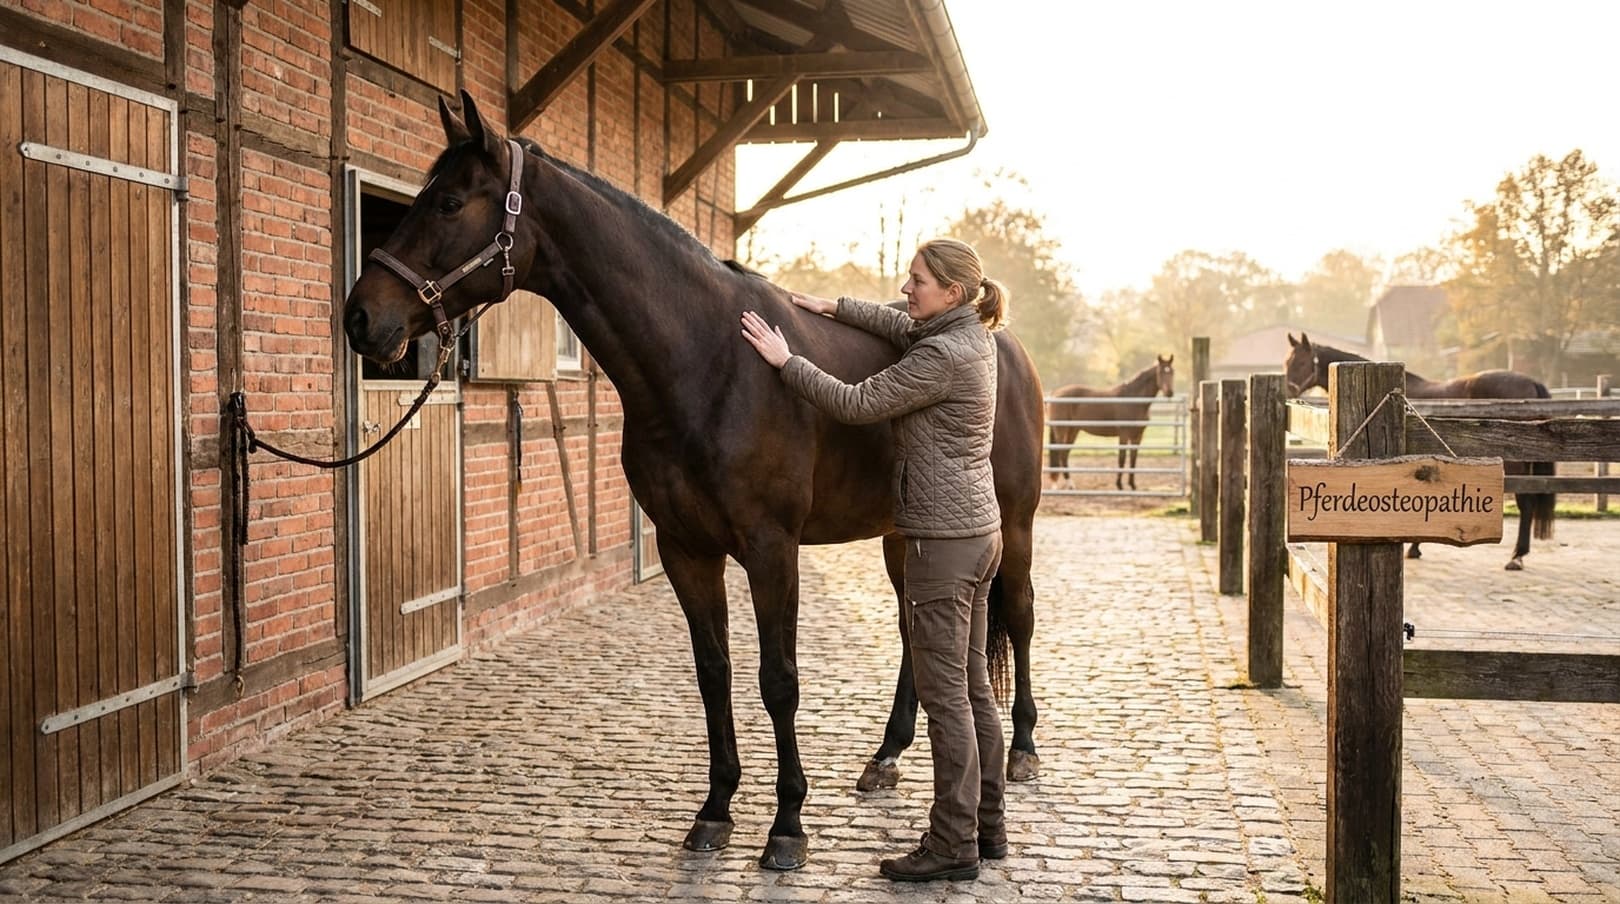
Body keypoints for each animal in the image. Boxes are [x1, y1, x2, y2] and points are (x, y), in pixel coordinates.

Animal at [341, 91, 1045, 871]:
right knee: (912, 632)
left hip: (1013, 527)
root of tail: (1003, 342)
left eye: (449, 202)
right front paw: (715, 812)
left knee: (1019, 615)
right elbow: (714, 674)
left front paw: (787, 826)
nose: (360, 317)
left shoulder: (771, 550)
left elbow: (778, 681)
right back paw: (885, 758)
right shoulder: (685, 548)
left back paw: (1022, 750)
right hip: (902, 535)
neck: (706, 361)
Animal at [1046, 355, 1174, 490]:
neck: (1133, 400)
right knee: (1061, 454)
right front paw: (1119, 485)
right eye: (1160, 372)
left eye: (1172, 372)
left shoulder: (1137, 436)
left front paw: (1132, 485)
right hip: (1061, 430)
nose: (1169, 392)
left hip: (1073, 431)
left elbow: (1133, 459)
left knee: (1064, 455)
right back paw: (1070, 484)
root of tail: (1055, 393)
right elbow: (1122, 458)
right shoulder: (1124, 434)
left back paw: (1069, 484)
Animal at [1284, 332, 1555, 570]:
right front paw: (1414, 546)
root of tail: (1532, 382)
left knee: (1526, 502)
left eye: (1301, 362)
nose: (1289, 391)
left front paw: (1413, 546)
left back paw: (1516, 557)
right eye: (1288, 362)